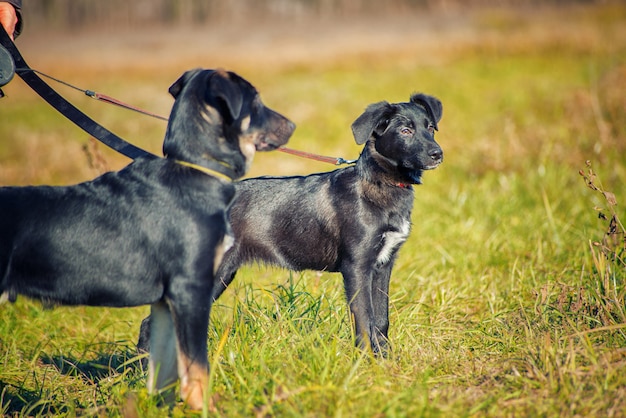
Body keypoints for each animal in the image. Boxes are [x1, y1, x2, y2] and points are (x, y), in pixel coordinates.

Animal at [0, 68, 294, 408]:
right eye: (255, 101)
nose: (292, 125)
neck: (193, 170)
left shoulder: (168, 300)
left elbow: (167, 368)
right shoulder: (189, 288)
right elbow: (197, 367)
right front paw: (204, 407)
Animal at [140, 93, 444, 358]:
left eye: (430, 128)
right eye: (405, 131)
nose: (437, 154)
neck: (380, 183)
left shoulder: (383, 265)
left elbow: (380, 321)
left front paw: (385, 362)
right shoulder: (357, 266)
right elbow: (364, 321)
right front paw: (365, 364)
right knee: (150, 324)